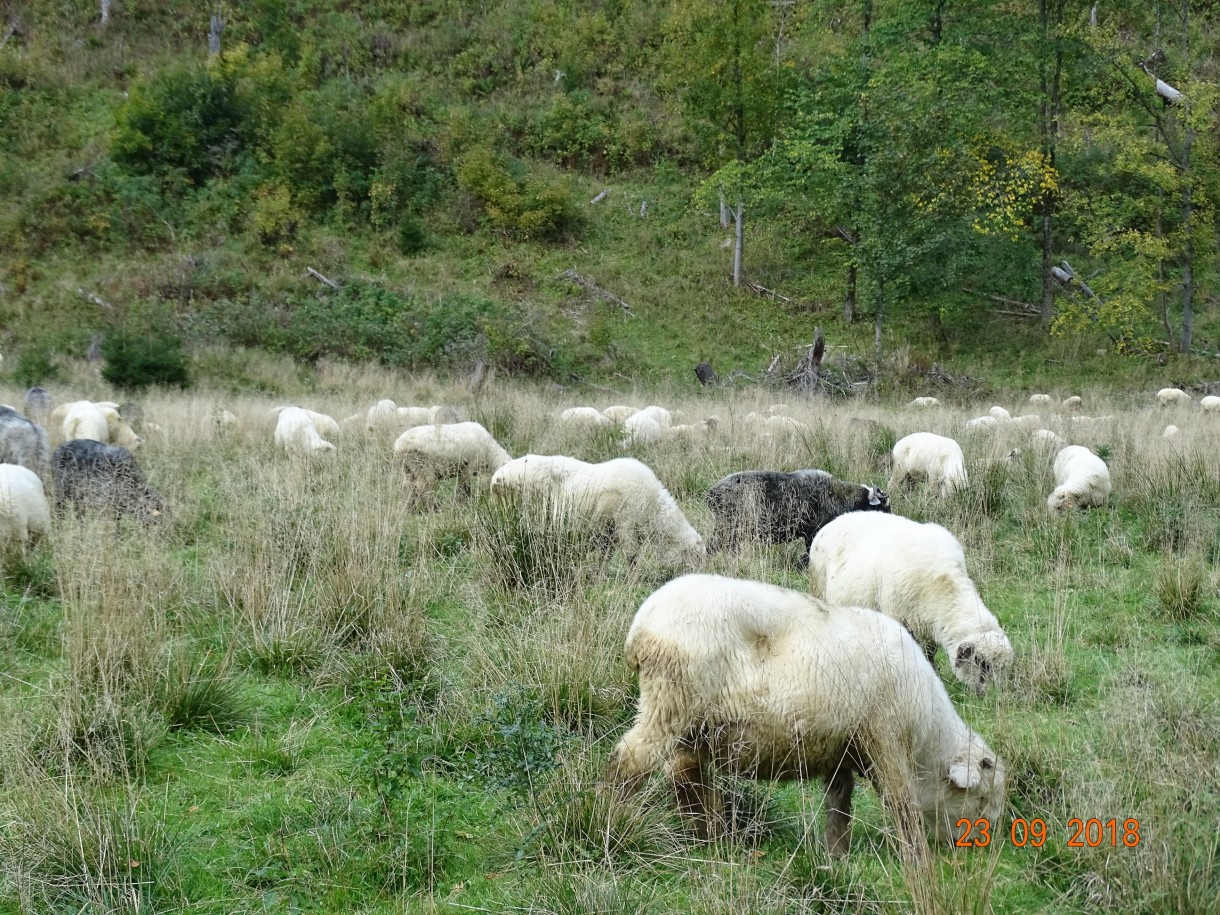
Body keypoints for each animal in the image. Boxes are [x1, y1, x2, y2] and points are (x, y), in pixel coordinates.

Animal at [605, 573, 1005, 858]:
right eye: (982, 799)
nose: (983, 846)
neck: (925, 733)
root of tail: (642, 624)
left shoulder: (842, 748)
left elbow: (839, 804)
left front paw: (837, 856)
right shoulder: (884, 737)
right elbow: (901, 803)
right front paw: (916, 857)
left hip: (691, 721)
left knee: (685, 773)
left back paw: (710, 836)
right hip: (672, 700)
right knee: (632, 760)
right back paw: (613, 820)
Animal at [810, 512, 1010, 697]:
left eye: (1003, 669)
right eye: (982, 664)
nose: (994, 697)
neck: (942, 581)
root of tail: (835, 520)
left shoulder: (927, 626)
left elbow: (929, 654)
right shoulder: (900, 619)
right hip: (818, 589)